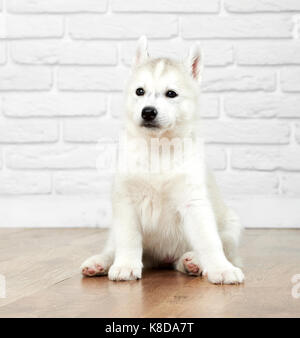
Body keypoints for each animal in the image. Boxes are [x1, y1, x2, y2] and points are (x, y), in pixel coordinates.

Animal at [81, 37, 244, 284]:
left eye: (171, 94)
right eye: (140, 91)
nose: (148, 112)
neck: (157, 148)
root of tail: (164, 259)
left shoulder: (193, 201)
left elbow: (209, 240)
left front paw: (220, 268)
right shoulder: (126, 201)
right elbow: (128, 239)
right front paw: (125, 265)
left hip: (231, 226)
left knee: (219, 245)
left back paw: (193, 261)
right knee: (112, 248)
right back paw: (98, 263)